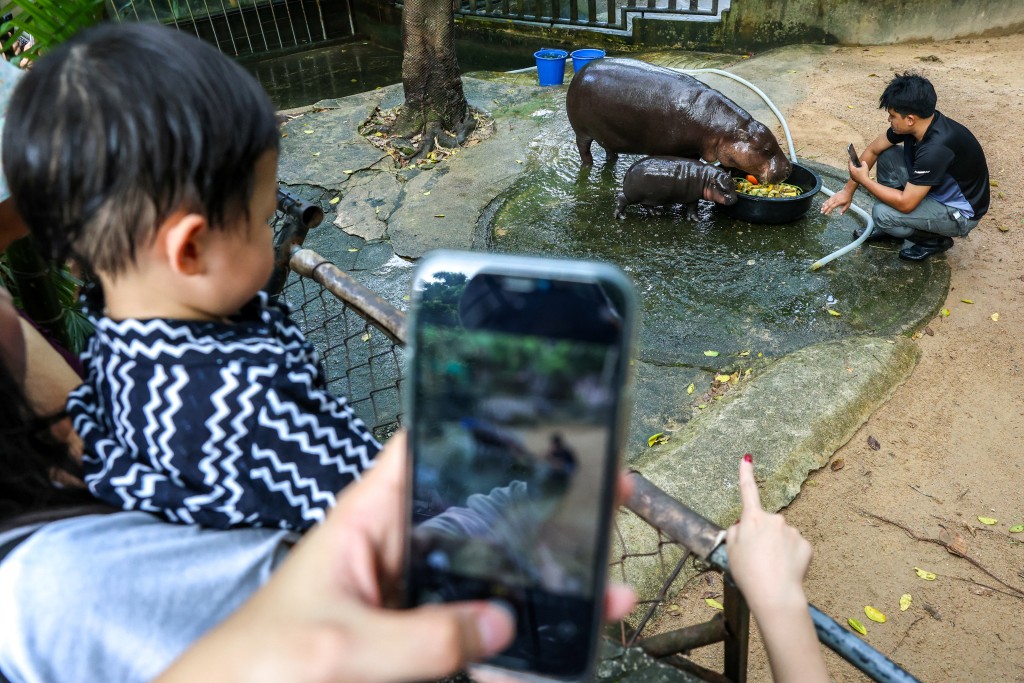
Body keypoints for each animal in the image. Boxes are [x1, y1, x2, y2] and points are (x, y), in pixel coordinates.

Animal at [569, 58, 790, 184]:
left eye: (776, 142)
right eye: (766, 149)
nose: (789, 169)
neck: (721, 129)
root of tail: (580, 72)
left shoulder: (692, 151)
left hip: (608, 133)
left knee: (609, 149)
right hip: (581, 131)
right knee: (584, 150)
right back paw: (587, 167)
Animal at [610, 156, 741, 219]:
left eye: (733, 185)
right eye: (723, 189)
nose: (735, 200)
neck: (706, 178)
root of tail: (628, 172)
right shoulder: (693, 197)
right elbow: (692, 208)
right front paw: (695, 219)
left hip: (648, 196)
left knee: (646, 205)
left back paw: (656, 213)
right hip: (632, 195)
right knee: (621, 198)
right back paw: (620, 216)